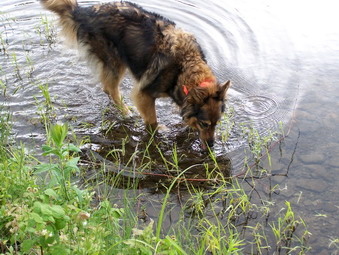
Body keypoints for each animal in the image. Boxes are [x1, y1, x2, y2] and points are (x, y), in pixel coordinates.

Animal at [39, 0, 231, 148]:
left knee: (107, 88)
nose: (212, 146)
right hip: (115, 62)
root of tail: (84, 11)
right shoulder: (144, 94)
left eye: (216, 124)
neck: (184, 66)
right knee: (111, 89)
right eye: (204, 124)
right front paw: (157, 132)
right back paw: (126, 111)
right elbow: (152, 121)